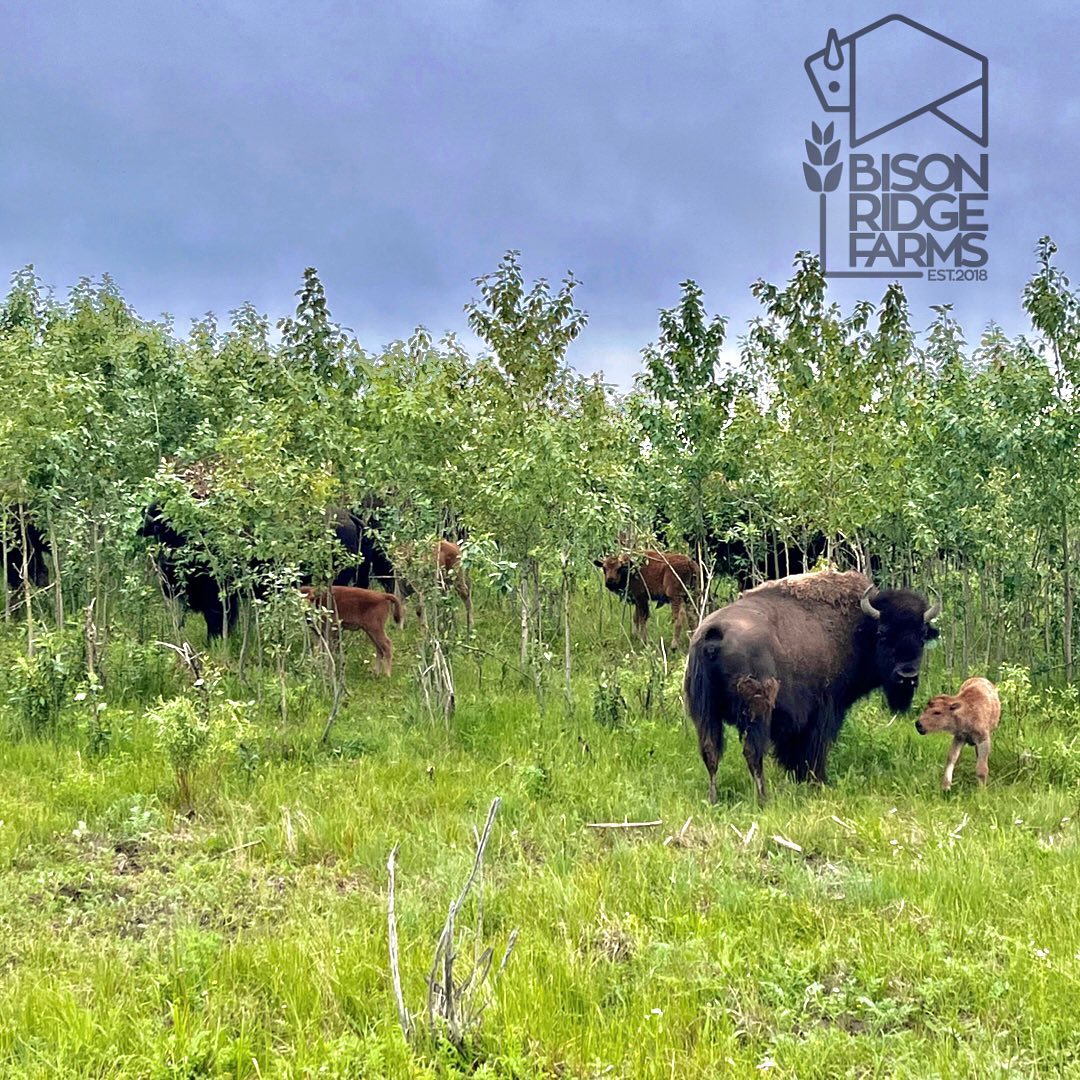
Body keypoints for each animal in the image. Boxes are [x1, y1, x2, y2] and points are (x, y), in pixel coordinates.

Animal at [684, 570, 940, 802]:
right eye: (883, 633)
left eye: (922, 635)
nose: (907, 675)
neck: (858, 627)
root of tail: (714, 633)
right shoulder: (824, 711)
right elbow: (814, 749)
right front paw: (818, 782)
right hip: (757, 710)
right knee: (752, 752)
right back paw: (764, 799)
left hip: (704, 712)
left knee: (711, 752)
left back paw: (713, 799)